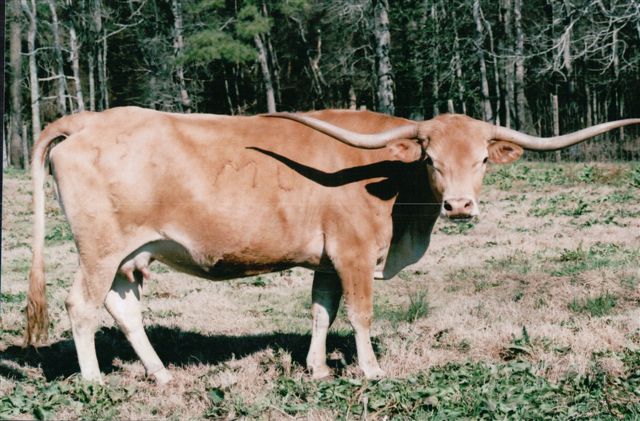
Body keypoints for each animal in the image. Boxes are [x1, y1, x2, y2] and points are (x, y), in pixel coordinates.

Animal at [24, 107, 639, 384]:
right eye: (432, 159)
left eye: (484, 159)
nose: (460, 206)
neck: (392, 185)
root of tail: (87, 120)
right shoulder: (353, 254)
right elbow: (361, 313)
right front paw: (370, 369)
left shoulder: (324, 261)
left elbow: (322, 311)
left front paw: (318, 369)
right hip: (100, 249)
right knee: (81, 306)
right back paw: (95, 380)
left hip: (130, 255)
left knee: (124, 308)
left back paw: (162, 375)